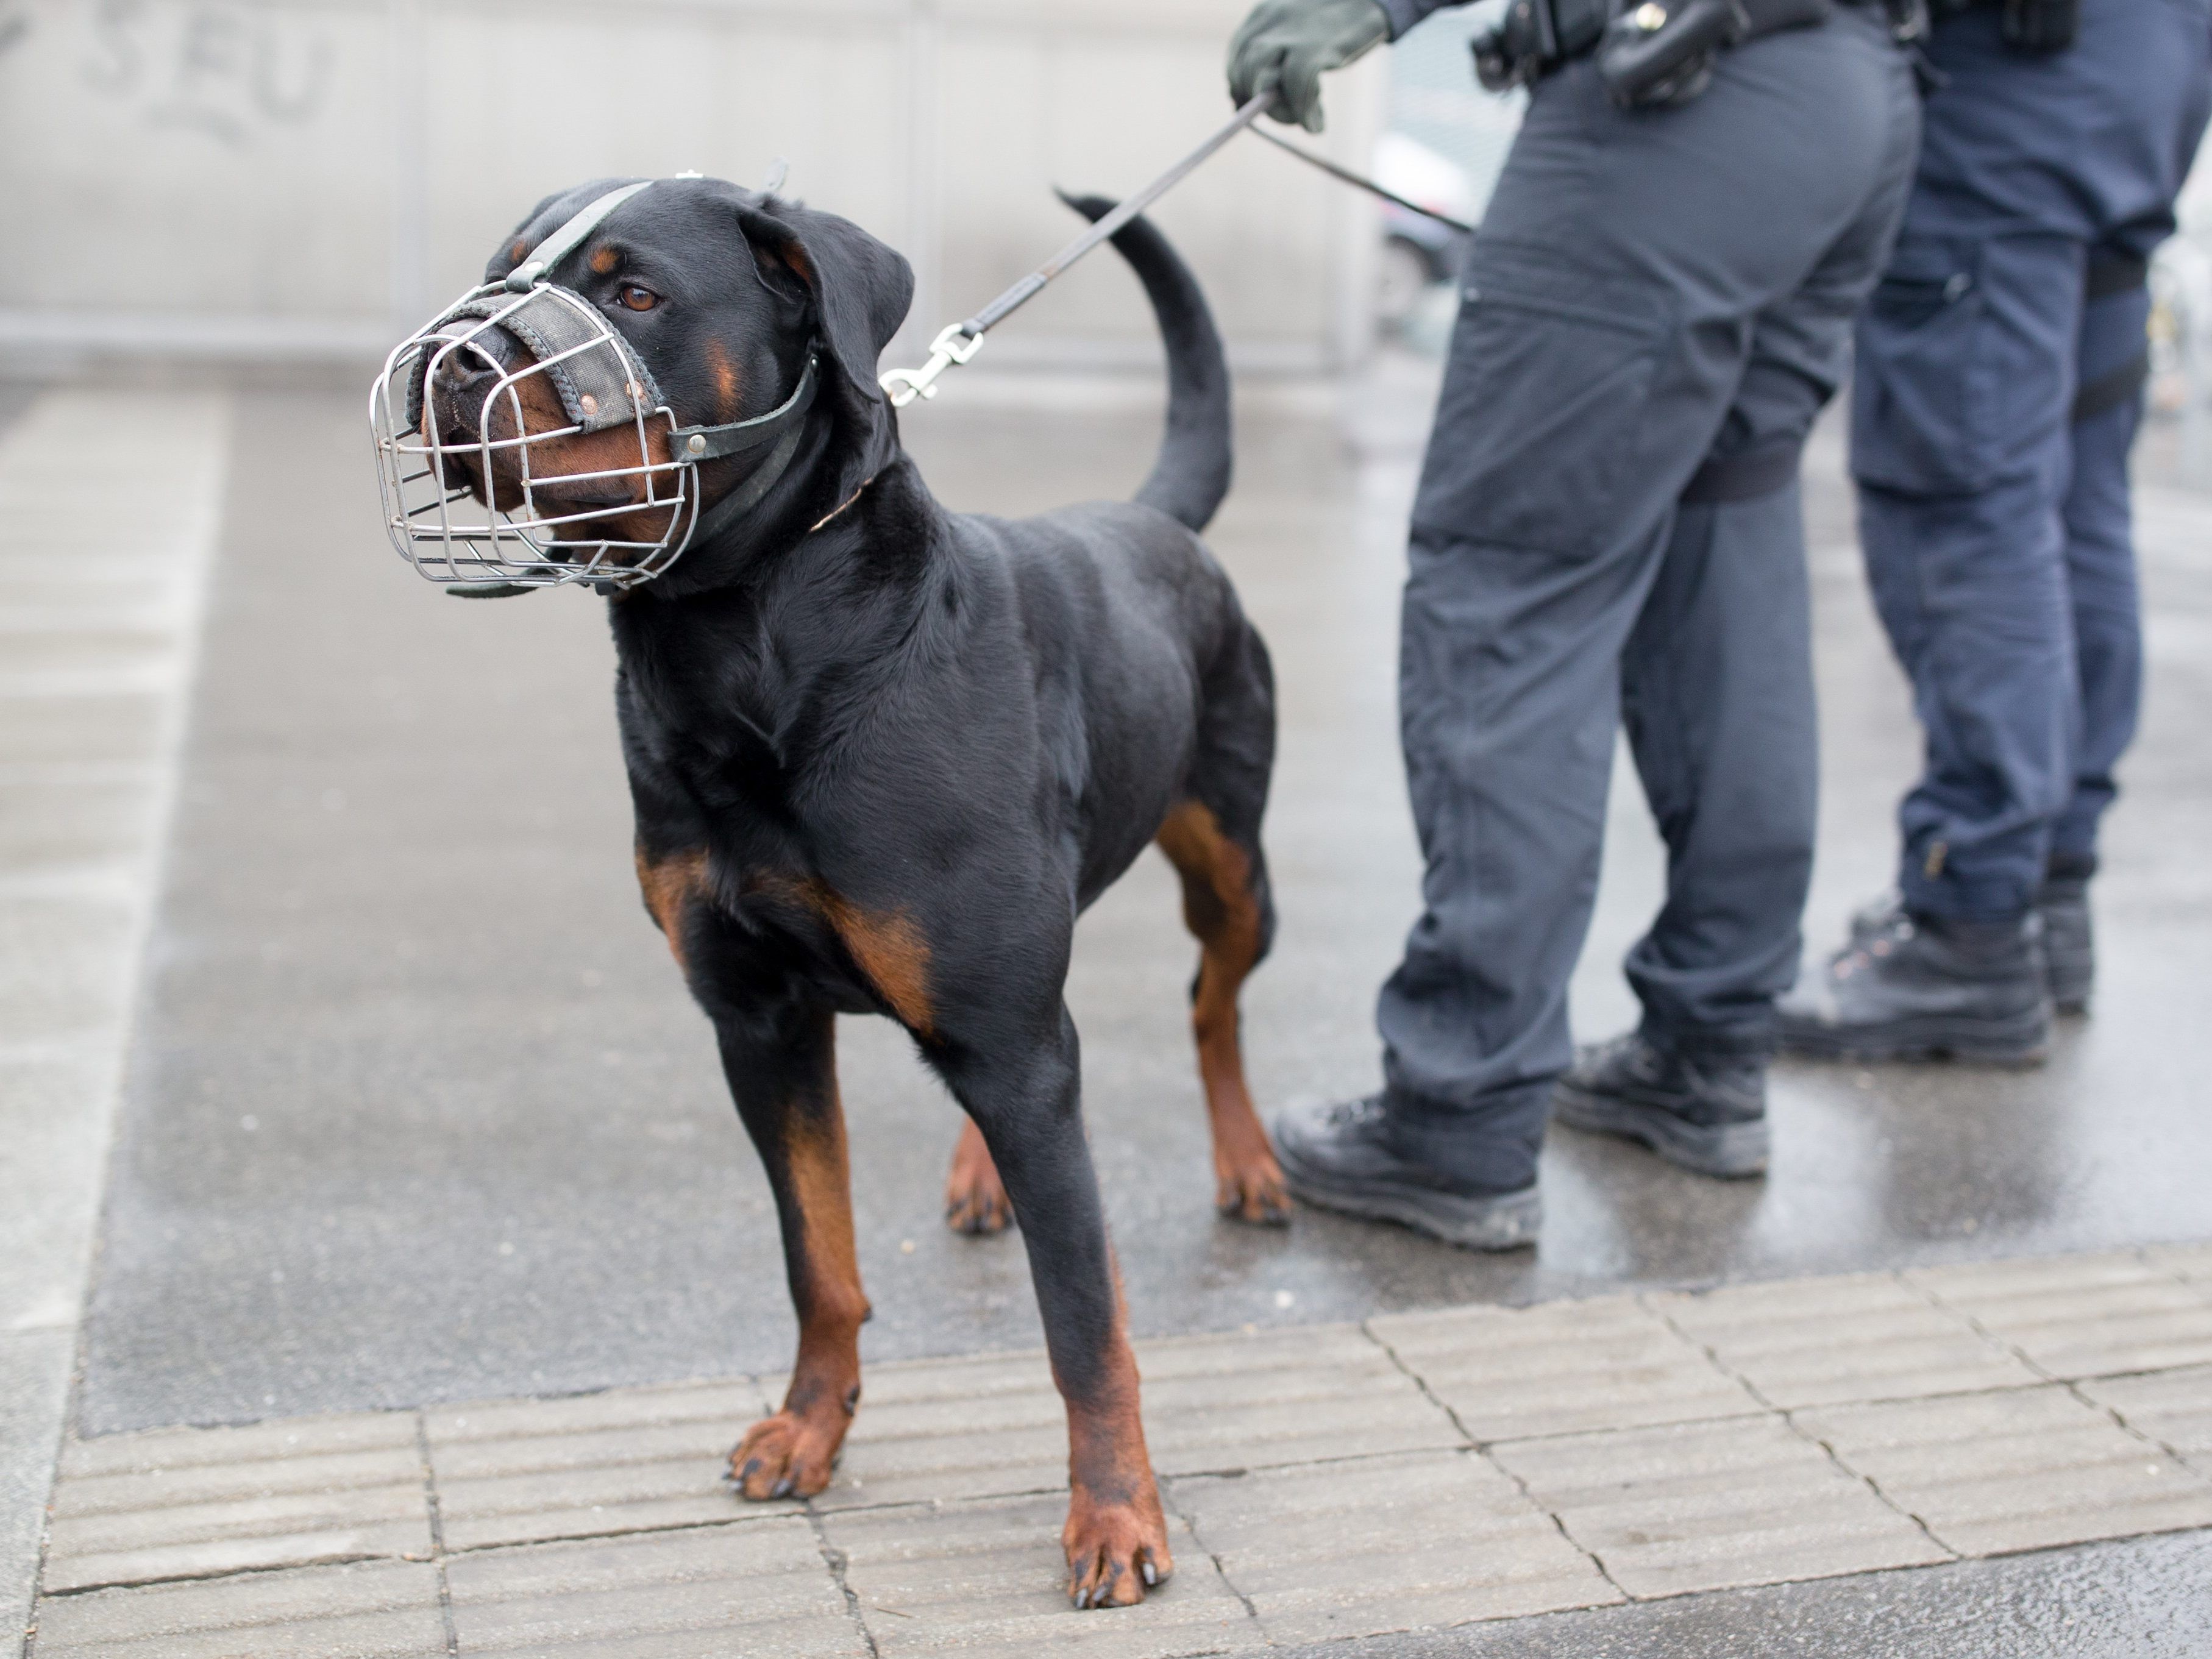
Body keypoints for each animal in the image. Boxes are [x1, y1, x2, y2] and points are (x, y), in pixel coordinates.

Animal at [418, 179, 1282, 1610]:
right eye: (502, 273)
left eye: (633, 292)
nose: (454, 364)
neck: (746, 639)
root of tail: (1150, 519)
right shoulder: (759, 1022)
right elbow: (815, 1257)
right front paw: (808, 1429)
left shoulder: (1004, 1030)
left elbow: (1081, 1316)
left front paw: (1113, 1515)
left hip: (1231, 864)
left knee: (1210, 1000)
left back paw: (1249, 1161)